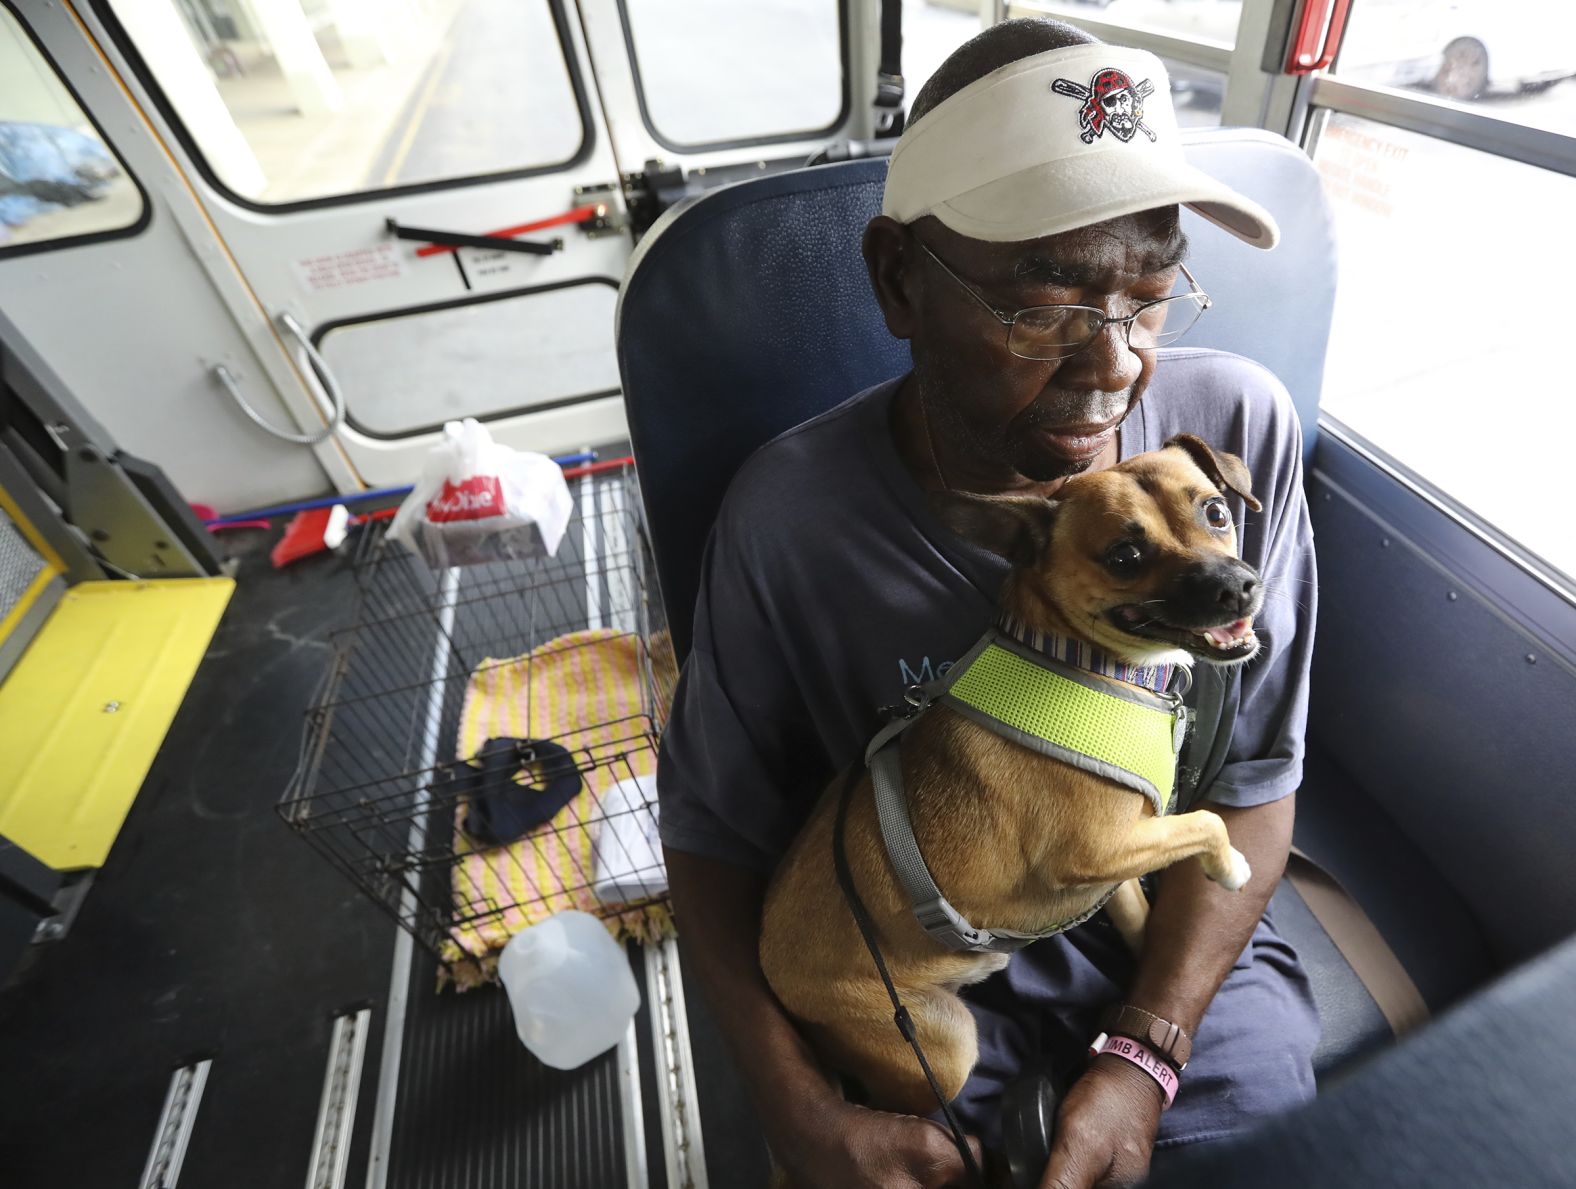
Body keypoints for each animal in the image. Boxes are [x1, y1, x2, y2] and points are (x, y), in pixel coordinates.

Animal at [756, 432, 1260, 1110]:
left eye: (1216, 511)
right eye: (1125, 556)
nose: (1238, 585)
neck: (1077, 657)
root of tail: (774, 977)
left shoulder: (1124, 854)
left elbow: (1138, 914)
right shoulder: (1095, 848)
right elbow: (1207, 821)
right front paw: (1228, 868)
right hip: (940, 1049)